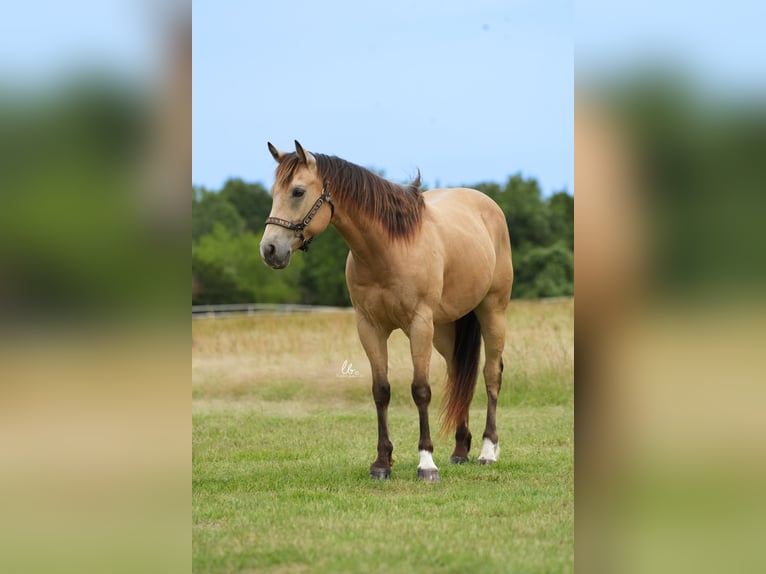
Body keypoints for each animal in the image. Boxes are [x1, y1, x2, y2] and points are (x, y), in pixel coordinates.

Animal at [260, 142, 512, 484]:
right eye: (274, 192)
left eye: (298, 191)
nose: (269, 250)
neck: (388, 249)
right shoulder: (369, 327)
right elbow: (381, 391)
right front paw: (382, 462)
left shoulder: (419, 324)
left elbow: (420, 390)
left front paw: (426, 463)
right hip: (445, 330)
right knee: (460, 375)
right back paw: (460, 450)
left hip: (492, 311)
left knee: (491, 374)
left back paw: (488, 451)